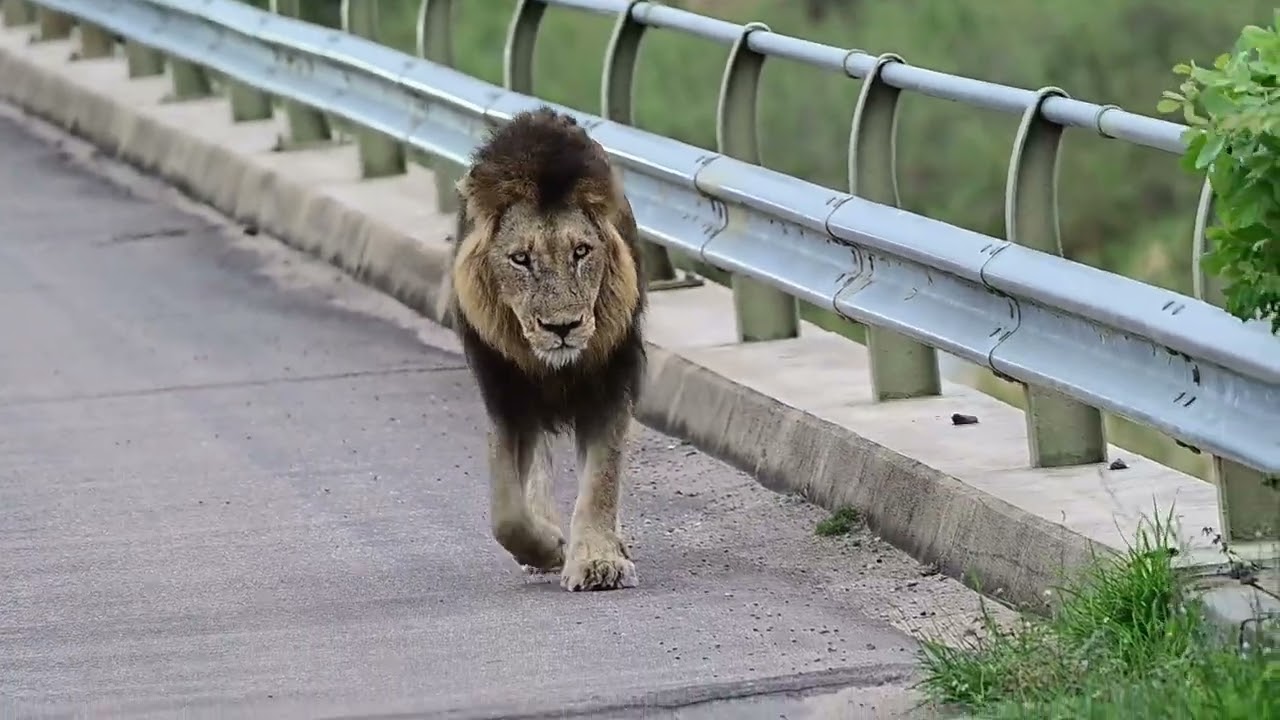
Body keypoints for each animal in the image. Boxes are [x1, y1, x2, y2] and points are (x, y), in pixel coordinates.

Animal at [447, 106, 647, 592]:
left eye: (581, 252)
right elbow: (505, 512)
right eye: (521, 259)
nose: (562, 327)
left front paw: (598, 561)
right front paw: (547, 548)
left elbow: (602, 479)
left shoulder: (610, 383)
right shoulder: (505, 395)